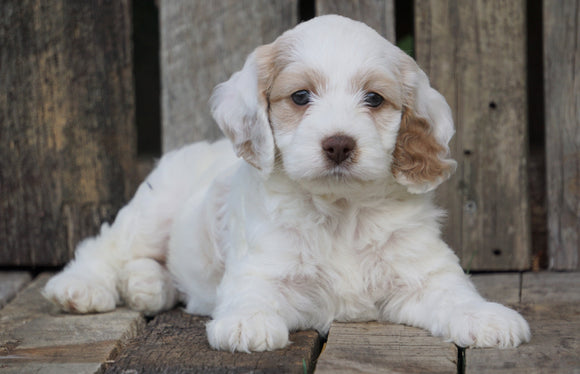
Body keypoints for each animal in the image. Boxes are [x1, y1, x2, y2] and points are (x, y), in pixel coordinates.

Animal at [44, 14, 532, 352]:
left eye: (374, 99)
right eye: (300, 97)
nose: (339, 144)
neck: (341, 211)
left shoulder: (423, 273)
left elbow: (455, 293)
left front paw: (488, 318)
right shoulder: (262, 268)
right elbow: (252, 295)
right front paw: (248, 323)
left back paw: (148, 286)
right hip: (155, 206)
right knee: (107, 246)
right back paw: (81, 288)